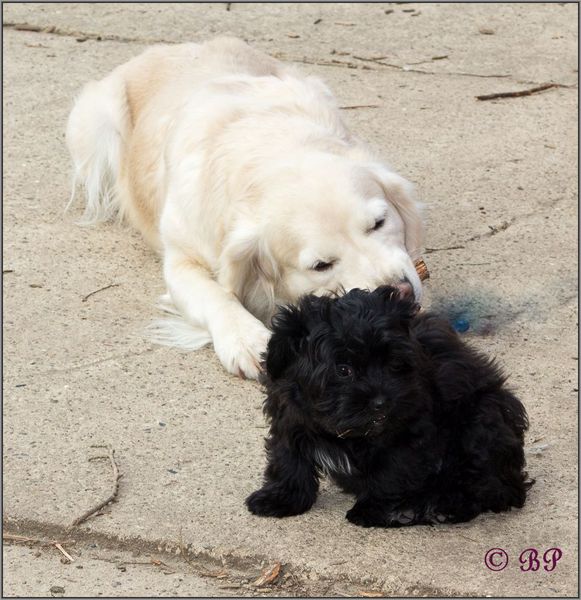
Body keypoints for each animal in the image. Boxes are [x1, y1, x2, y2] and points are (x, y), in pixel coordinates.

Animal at [66, 37, 424, 379]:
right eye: (321, 265)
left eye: (379, 222)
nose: (402, 292)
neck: (269, 146)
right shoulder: (181, 258)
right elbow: (216, 293)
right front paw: (246, 338)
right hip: (96, 123)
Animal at [246, 286, 532, 527]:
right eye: (343, 369)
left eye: (393, 363)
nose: (382, 402)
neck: (345, 433)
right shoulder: (289, 416)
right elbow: (289, 458)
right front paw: (282, 498)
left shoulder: (408, 434)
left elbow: (391, 472)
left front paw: (374, 509)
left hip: (482, 421)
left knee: (490, 487)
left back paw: (439, 505)